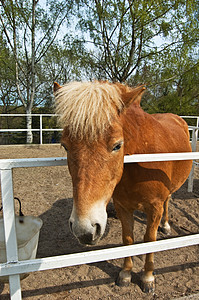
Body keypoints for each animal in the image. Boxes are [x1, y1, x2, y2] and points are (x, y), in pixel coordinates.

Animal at [53, 80, 192, 292]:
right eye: (65, 146)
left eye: (117, 145)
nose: (84, 229)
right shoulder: (121, 206)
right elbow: (128, 238)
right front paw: (126, 273)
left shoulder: (154, 207)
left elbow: (149, 240)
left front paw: (148, 278)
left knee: (168, 202)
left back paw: (166, 225)